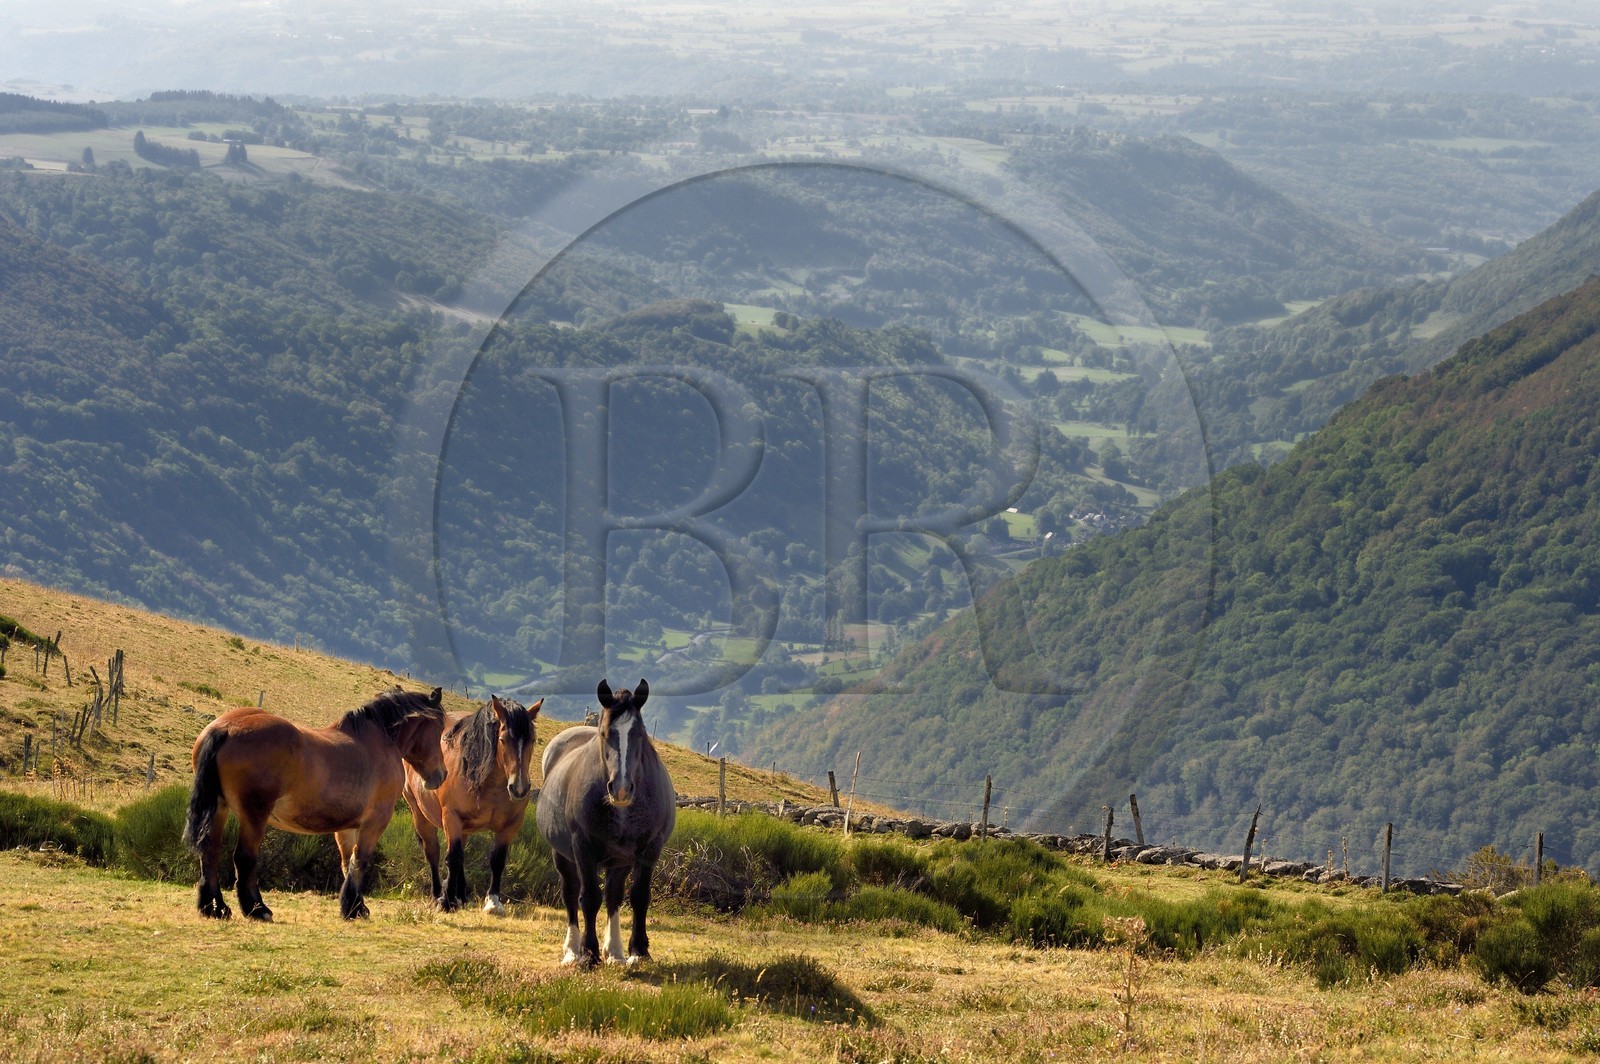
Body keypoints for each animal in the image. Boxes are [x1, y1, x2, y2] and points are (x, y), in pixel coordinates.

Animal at [183, 687, 447, 921]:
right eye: (439, 729)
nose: (441, 775)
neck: (379, 742)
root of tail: (225, 728)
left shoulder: (347, 826)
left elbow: (347, 863)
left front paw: (356, 906)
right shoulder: (376, 821)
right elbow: (361, 860)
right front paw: (353, 909)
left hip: (219, 809)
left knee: (210, 851)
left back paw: (214, 908)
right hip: (254, 816)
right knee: (244, 858)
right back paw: (257, 909)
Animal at [401, 694, 543, 914]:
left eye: (532, 740)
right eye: (503, 739)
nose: (519, 788)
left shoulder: (511, 825)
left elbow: (497, 860)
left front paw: (493, 902)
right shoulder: (452, 818)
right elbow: (452, 858)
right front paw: (446, 901)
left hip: (464, 828)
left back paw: (460, 896)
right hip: (420, 815)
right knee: (433, 852)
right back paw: (437, 895)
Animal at [536, 678, 675, 967]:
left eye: (640, 733)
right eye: (603, 734)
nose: (621, 789)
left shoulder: (649, 849)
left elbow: (639, 897)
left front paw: (639, 950)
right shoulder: (583, 848)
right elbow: (588, 898)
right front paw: (589, 953)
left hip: (619, 860)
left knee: (613, 896)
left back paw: (615, 952)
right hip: (562, 854)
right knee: (570, 893)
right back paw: (572, 951)